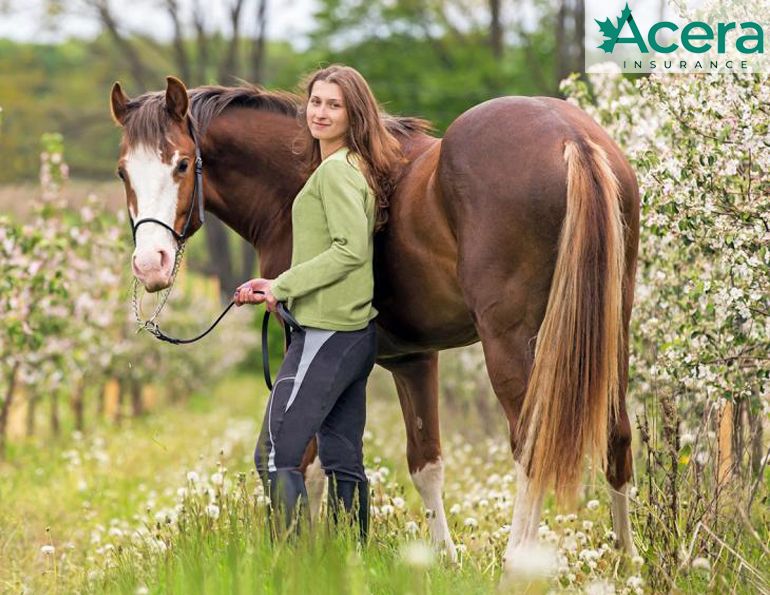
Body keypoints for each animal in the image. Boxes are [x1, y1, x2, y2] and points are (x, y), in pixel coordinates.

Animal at [109, 75, 640, 565]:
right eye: (122, 172)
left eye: (182, 163)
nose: (150, 264)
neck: (295, 183)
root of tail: (571, 136)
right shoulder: (412, 360)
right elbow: (423, 464)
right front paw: (441, 559)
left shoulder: (305, 344)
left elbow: (306, 462)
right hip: (611, 335)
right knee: (617, 436)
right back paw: (626, 559)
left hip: (512, 343)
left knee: (532, 445)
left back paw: (517, 566)